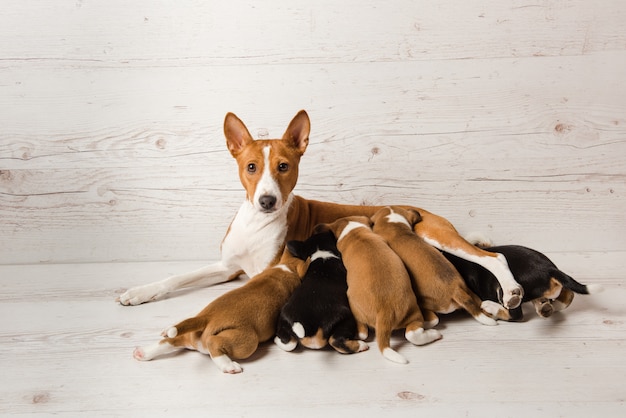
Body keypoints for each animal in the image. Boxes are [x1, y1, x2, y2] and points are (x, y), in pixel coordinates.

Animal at [117, 109, 520, 312]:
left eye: (284, 167)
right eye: (251, 167)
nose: (267, 201)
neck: (255, 224)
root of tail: (425, 208)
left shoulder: (262, 271)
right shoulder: (228, 267)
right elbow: (176, 278)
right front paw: (139, 292)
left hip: (436, 236)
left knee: (493, 257)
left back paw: (512, 289)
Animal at [133, 250, 306, 374]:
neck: (287, 267)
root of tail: (205, 318)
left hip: (188, 336)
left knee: (170, 340)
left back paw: (143, 352)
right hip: (247, 341)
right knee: (214, 343)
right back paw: (228, 366)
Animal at [314, 216, 442, 362]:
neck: (354, 231)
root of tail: (385, 311)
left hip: (354, 306)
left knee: (363, 333)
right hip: (413, 314)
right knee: (414, 333)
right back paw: (432, 332)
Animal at [442, 245, 604, 320]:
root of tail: (549, 269)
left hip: (501, 288)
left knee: (515, 315)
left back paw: (491, 307)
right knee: (567, 294)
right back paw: (545, 306)